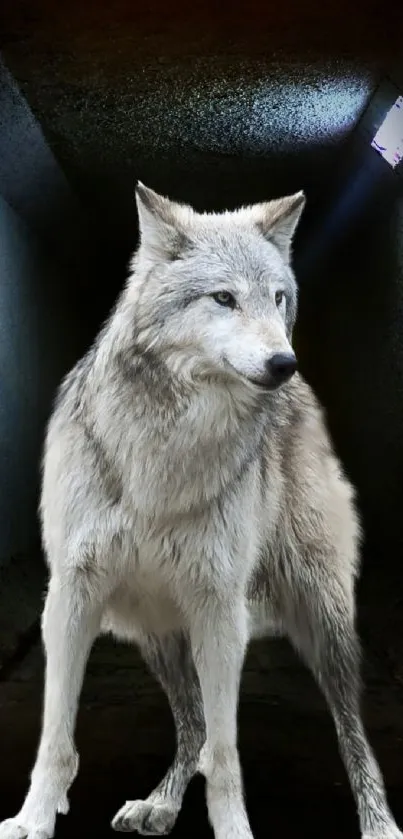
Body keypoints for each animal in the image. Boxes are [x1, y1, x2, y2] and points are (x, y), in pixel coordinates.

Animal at [1, 184, 402, 839]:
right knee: (189, 725)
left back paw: (379, 824)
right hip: (158, 633)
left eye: (277, 298)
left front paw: (234, 829)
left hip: (322, 615)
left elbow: (226, 752)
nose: (283, 363)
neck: (164, 456)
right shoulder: (71, 595)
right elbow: (57, 737)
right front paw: (33, 818)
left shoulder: (219, 606)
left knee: (348, 728)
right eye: (223, 298)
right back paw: (160, 805)